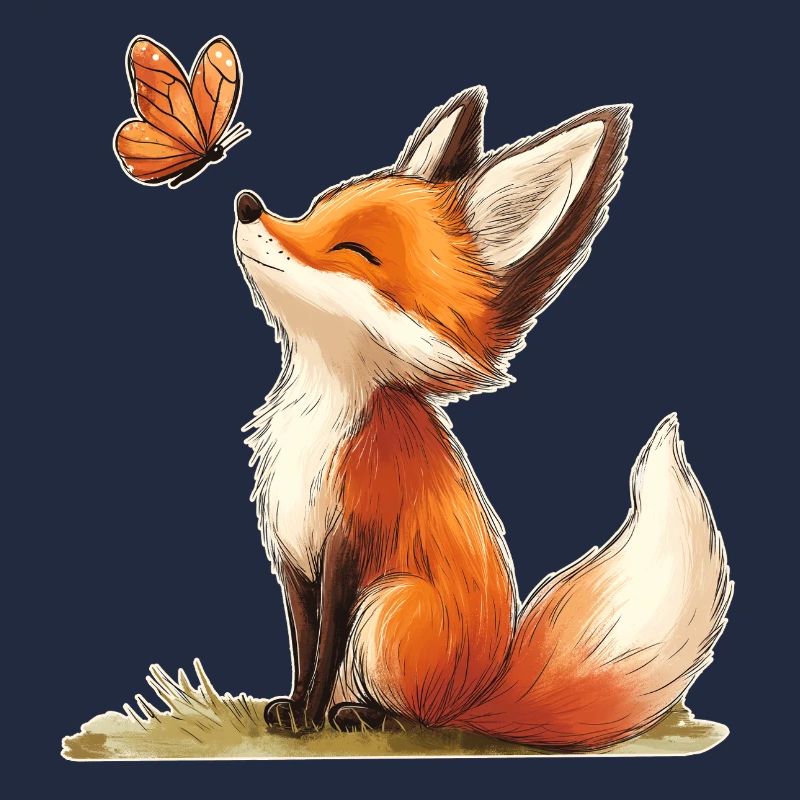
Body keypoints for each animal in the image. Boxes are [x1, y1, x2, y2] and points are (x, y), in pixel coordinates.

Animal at [232, 86, 732, 750]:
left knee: (419, 713)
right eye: (313, 211)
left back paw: (366, 715)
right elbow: (303, 646)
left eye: (355, 252)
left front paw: (308, 720)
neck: (318, 422)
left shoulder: (349, 547)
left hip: (389, 608)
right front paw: (291, 708)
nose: (246, 205)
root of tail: (481, 690)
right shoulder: (291, 554)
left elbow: (325, 645)